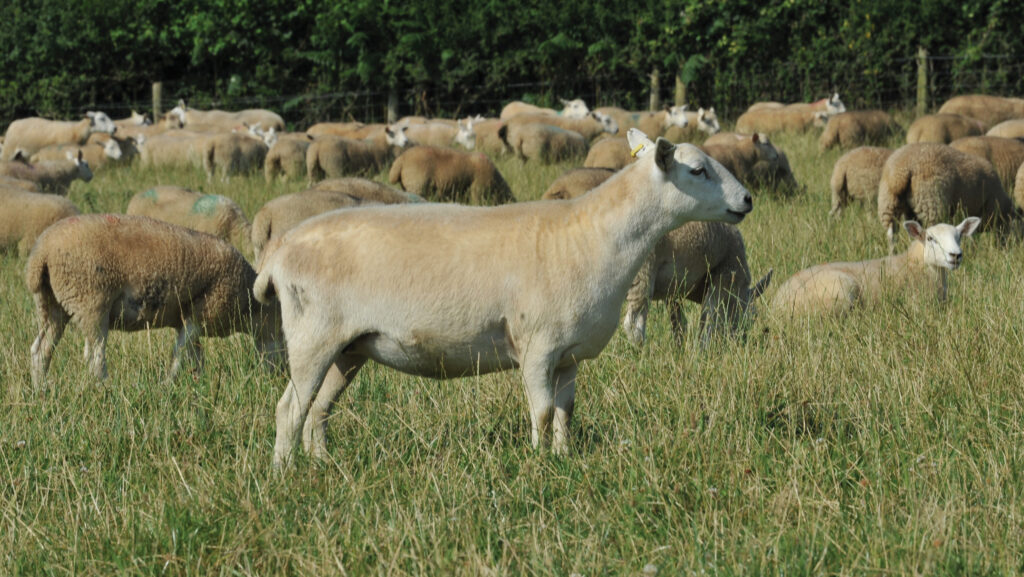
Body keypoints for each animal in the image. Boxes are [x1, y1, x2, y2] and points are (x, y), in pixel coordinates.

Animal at [25, 214, 284, 390]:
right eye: (284, 327)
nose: (281, 374)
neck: (248, 304)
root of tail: (42, 253)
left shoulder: (186, 317)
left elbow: (195, 355)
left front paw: (196, 382)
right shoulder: (199, 314)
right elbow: (180, 353)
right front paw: (168, 384)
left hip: (51, 303)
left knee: (40, 350)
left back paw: (41, 389)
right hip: (90, 301)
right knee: (94, 357)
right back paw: (105, 388)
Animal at [877, 143, 1014, 252]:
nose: (1007, 245)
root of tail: (900, 172)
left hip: (889, 203)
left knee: (891, 234)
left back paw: (893, 253)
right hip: (931, 204)